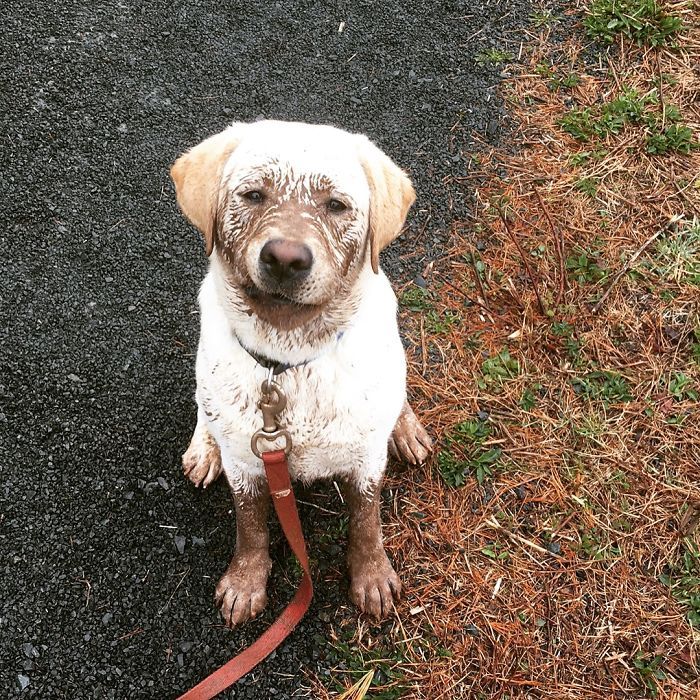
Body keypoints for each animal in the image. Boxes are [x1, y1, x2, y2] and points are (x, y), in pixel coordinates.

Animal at [172, 117, 430, 628]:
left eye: (336, 206)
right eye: (253, 194)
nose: (286, 258)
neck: (287, 362)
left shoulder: (366, 458)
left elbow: (367, 521)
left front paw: (371, 576)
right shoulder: (246, 462)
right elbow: (250, 526)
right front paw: (246, 582)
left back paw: (406, 428)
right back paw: (203, 448)